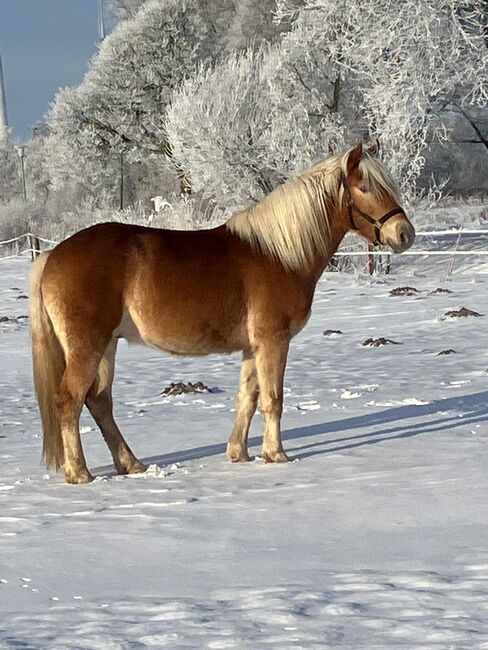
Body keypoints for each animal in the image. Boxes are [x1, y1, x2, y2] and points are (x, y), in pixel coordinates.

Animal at [29, 143, 415, 484]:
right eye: (365, 187)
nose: (404, 234)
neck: (279, 254)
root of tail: (52, 255)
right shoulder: (273, 341)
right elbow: (273, 399)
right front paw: (277, 455)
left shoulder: (253, 347)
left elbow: (248, 397)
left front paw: (238, 454)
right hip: (88, 347)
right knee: (69, 400)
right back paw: (79, 473)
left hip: (107, 345)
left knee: (98, 401)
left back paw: (131, 464)